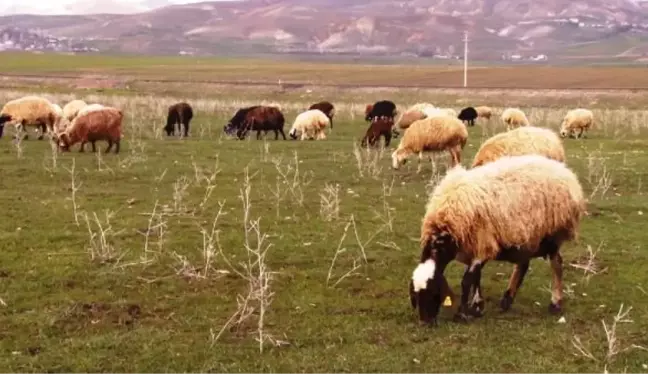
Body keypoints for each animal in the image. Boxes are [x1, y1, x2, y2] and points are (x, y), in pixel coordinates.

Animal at [410, 154, 588, 324]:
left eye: (433, 292)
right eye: (416, 296)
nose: (425, 322)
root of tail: (565, 171)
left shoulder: (482, 243)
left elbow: (467, 280)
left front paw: (462, 314)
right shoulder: (473, 248)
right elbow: (476, 277)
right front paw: (477, 306)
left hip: (552, 233)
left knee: (556, 263)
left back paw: (555, 303)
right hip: (526, 236)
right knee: (523, 264)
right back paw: (507, 299)